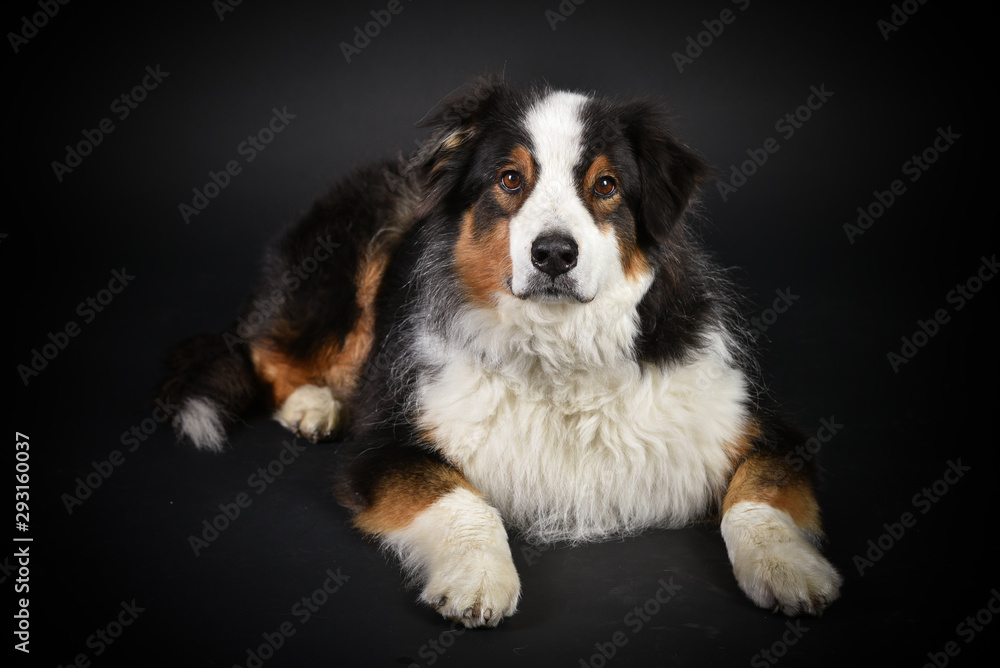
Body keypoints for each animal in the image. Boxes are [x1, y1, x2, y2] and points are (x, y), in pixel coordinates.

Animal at [162, 77, 844, 628]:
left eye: (606, 185)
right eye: (510, 179)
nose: (554, 254)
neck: (560, 348)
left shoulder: (754, 422)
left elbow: (758, 494)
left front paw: (789, 569)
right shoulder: (391, 446)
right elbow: (462, 500)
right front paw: (478, 578)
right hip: (341, 267)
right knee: (264, 352)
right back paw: (314, 404)